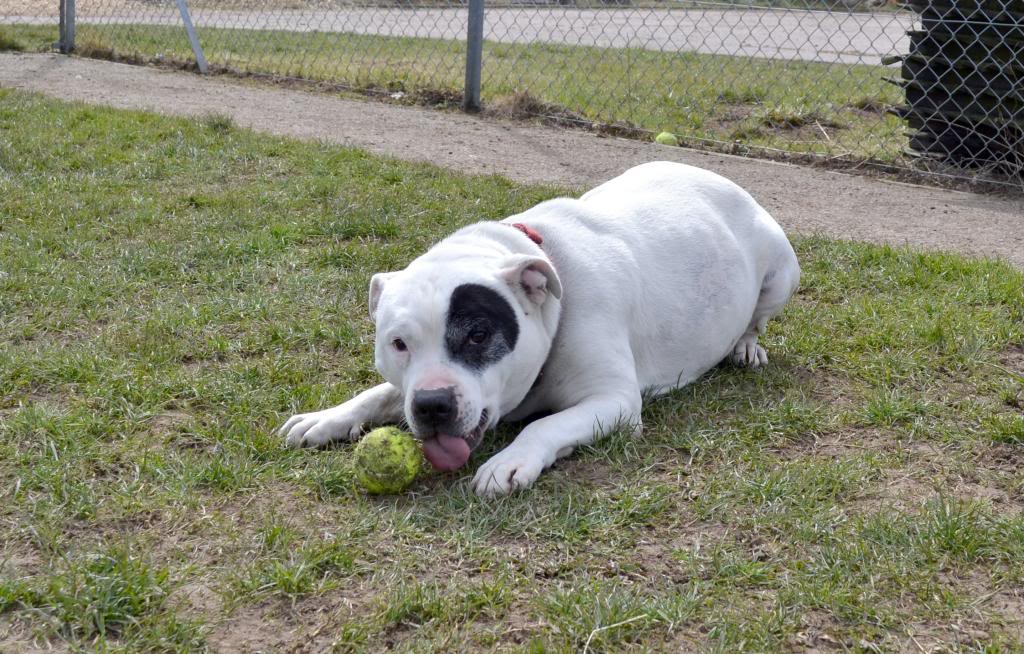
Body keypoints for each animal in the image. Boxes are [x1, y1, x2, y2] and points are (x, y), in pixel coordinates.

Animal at [280, 162, 798, 495]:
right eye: (399, 344)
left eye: (478, 335)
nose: (431, 405)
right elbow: (376, 394)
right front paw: (327, 417)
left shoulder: (613, 401)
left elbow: (545, 424)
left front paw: (511, 461)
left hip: (782, 273)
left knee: (755, 320)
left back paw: (746, 348)